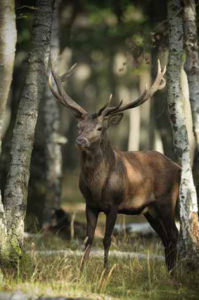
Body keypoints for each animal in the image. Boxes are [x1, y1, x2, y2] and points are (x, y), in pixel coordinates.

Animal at [48, 60, 180, 272]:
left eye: (99, 128)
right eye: (79, 127)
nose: (80, 140)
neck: (97, 186)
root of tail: (178, 167)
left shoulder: (114, 204)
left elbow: (107, 239)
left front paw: (105, 270)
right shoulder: (90, 204)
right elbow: (89, 239)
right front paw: (81, 270)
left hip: (167, 200)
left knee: (174, 234)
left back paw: (174, 273)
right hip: (149, 209)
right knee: (165, 237)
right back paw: (168, 271)